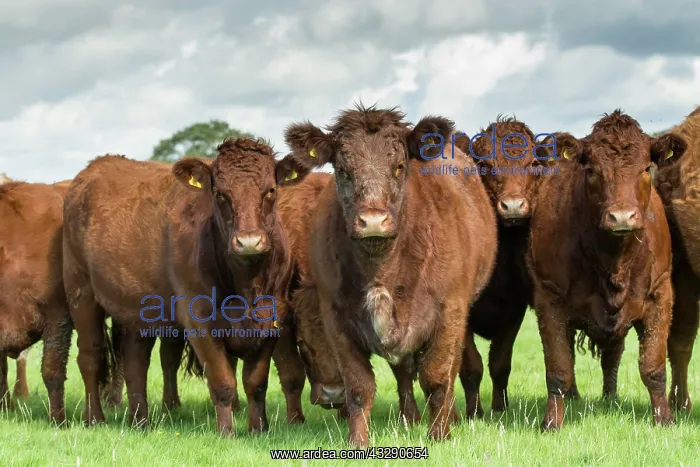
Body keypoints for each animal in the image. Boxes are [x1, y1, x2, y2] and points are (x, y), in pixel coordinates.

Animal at [62, 138, 308, 434]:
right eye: (219, 194)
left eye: (271, 190)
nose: (248, 241)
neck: (247, 285)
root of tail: (95, 167)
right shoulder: (198, 319)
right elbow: (223, 381)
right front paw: (226, 432)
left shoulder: (273, 317)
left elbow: (256, 382)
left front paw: (258, 428)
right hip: (81, 292)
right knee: (90, 356)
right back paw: (95, 418)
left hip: (136, 310)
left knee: (135, 364)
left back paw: (140, 421)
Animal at [281, 104, 498, 447]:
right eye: (342, 170)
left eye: (399, 166)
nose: (373, 220)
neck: (382, 270)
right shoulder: (336, 317)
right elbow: (359, 386)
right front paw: (357, 441)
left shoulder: (450, 309)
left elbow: (438, 376)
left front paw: (439, 434)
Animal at [526, 109, 688, 431]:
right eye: (592, 170)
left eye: (646, 168)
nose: (622, 216)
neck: (614, 260)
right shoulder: (548, 298)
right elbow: (558, 369)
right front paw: (551, 422)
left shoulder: (661, 293)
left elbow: (653, 368)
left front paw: (664, 419)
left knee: (612, 356)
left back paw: (610, 397)